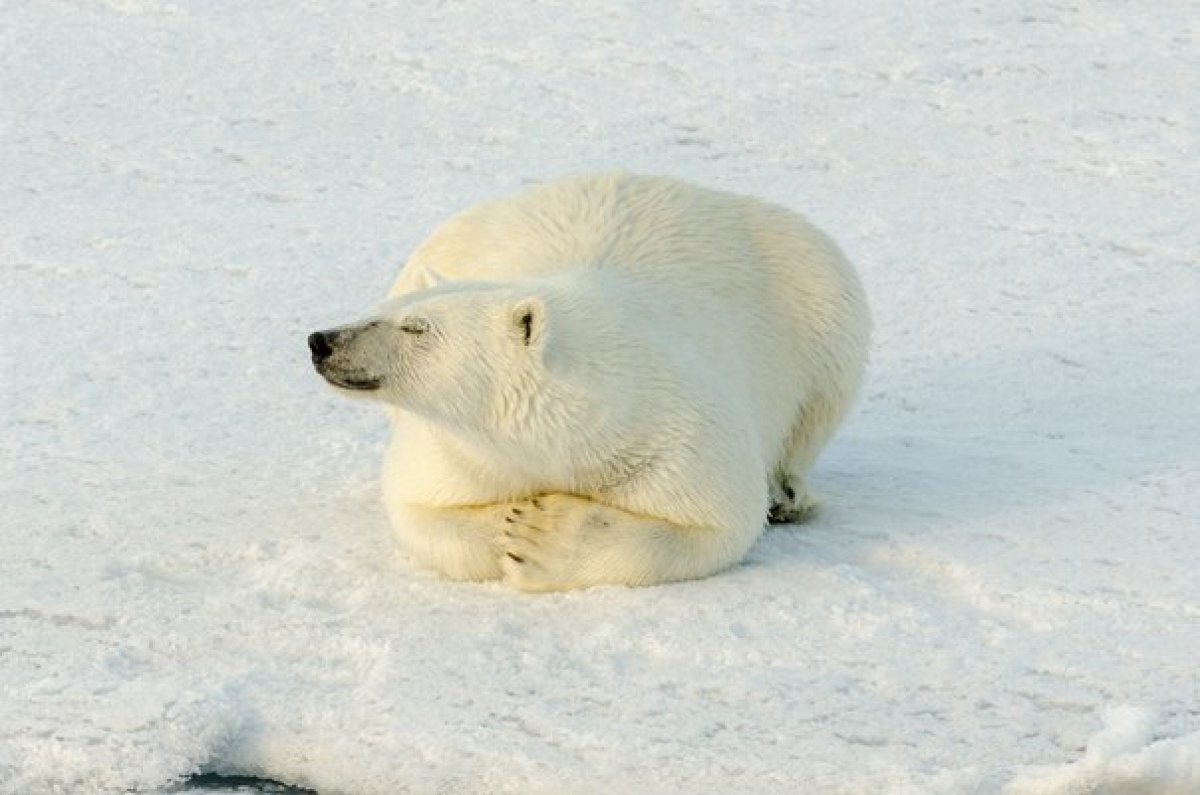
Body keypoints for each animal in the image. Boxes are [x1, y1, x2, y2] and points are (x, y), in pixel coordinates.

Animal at [309, 171, 868, 590]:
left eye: (417, 328)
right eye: (387, 311)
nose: (323, 341)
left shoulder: (675, 432)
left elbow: (717, 522)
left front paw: (541, 535)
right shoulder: (454, 452)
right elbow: (419, 510)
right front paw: (511, 526)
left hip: (816, 287)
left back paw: (790, 494)